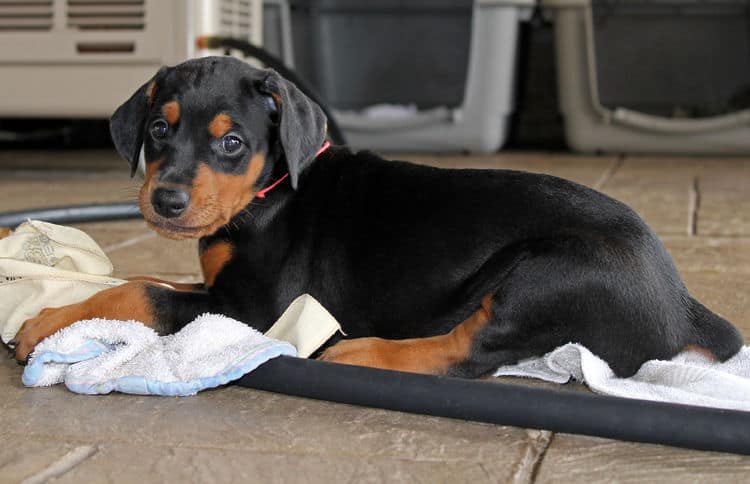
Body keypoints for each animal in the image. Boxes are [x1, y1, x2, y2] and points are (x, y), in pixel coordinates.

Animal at [14, 56, 744, 378]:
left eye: (232, 143)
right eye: (159, 132)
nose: (163, 200)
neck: (269, 192)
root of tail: (682, 306)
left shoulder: (250, 307)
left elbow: (140, 292)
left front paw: (43, 323)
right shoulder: (220, 283)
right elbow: (148, 280)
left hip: (545, 271)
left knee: (473, 353)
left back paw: (361, 350)